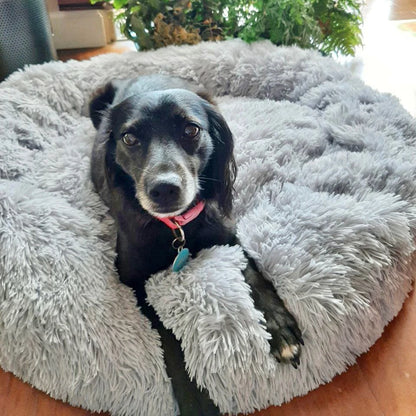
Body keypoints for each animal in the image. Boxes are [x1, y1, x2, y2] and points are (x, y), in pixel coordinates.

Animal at [90, 75, 302, 416]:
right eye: (129, 138)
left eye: (191, 130)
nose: (164, 189)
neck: (177, 227)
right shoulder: (132, 282)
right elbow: (167, 338)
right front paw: (195, 400)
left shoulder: (229, 236)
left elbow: (255, 273)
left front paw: (280, 329)